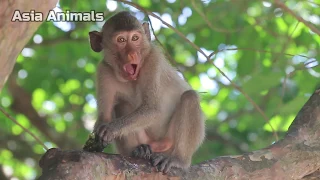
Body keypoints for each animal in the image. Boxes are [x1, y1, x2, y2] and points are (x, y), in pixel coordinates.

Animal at [87, 10, 205, 173]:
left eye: (135, 38)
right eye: (121, 40)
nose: (132, 54)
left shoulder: (152, 59)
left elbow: (152, 109)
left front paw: (111, 128)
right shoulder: (103, 70)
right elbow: (104, 117)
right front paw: (100, 134)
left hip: (170, 141)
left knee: (190, 97)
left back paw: (179, 160)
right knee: (121, 105)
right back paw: (139, 151)